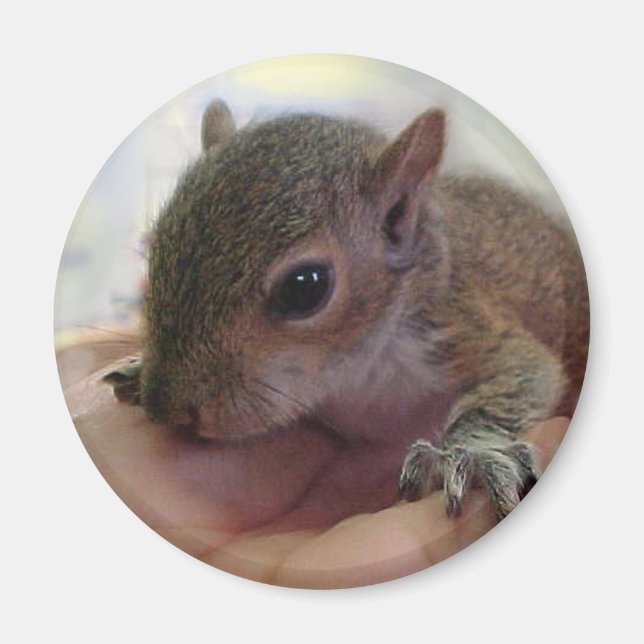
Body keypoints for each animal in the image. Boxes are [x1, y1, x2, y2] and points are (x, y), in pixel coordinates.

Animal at [104, 99, 589, 521]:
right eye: (156, 245)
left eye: (304, 288)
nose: (165, 408)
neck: (350, 373)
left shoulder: (457, 322)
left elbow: (526, 372)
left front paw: (470, 452)